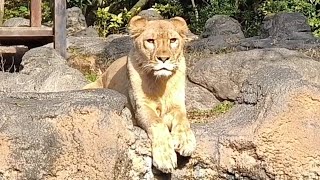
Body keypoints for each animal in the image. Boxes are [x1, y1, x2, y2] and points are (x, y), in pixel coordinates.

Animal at [82, 15, 196, 173]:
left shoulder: (177, 105)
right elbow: (158, 123)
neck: (160, 82)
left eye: (173, 40)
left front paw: (185, 141)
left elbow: (183, 120)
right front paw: (165, 157)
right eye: (150, 41)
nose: (164, 59)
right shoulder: (141, 108)